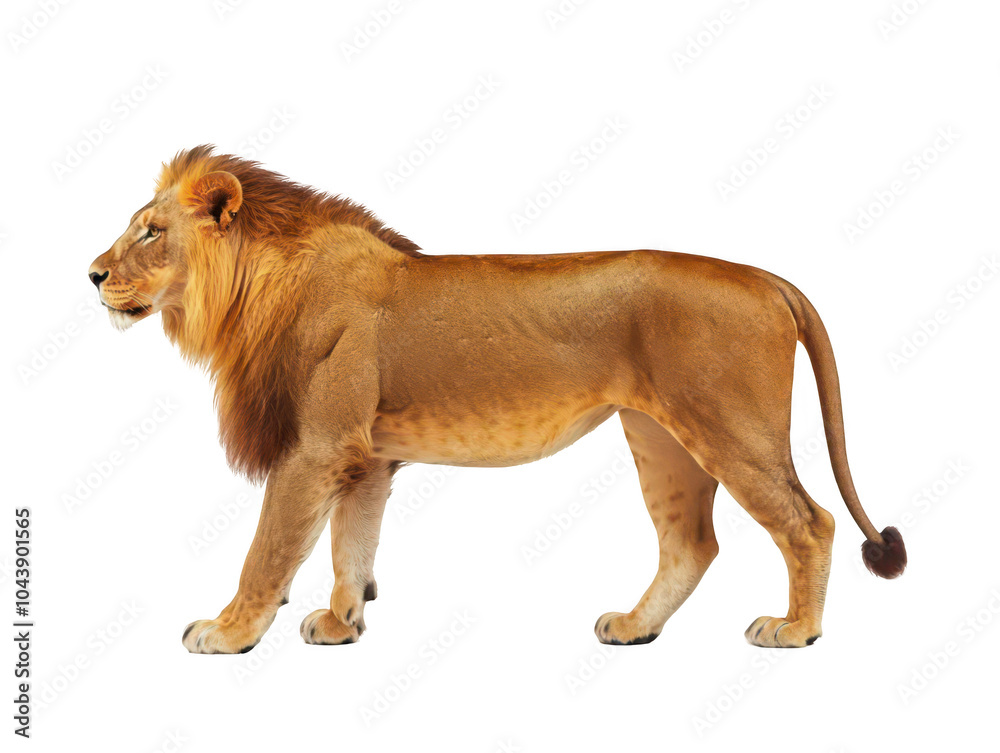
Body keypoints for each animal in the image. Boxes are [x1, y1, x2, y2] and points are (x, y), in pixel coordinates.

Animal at [88, 146, 906, 654]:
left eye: (151, 232)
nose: (91, 274)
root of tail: (768, 277)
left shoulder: (314, 447)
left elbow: (268, 551)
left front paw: (228, 632)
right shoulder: (367, 458)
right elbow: (352, 542)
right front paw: (343, 623)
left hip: (732, 429)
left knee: (810, 522)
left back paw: (795, 631)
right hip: (660, 438)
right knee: (690, 542)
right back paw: (635, 626)